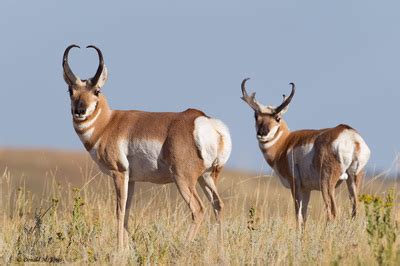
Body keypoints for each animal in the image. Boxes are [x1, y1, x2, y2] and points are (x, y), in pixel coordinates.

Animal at [61, 44, 233, 248]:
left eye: (97, 90)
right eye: (70, 91)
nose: (80, 111)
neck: (108, 123)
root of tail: (204, 121)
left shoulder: (119, 173)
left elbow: (119, 212)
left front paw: (119, 249)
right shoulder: (132, 179)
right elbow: (126, 214)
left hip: (183, 179)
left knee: (198, 210)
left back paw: (182, 248)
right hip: (206, 177)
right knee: (218, 205)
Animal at [239, 78, 370, 228]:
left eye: (277, 117)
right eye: (256, 116)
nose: (262, 133)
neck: (285, 143)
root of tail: (351, 136)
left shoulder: (295, 186)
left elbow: (298, 216)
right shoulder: (307, 190)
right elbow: (305, 217)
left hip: (327, 184)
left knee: (332, 212)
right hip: (354, 179)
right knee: (355, 211)